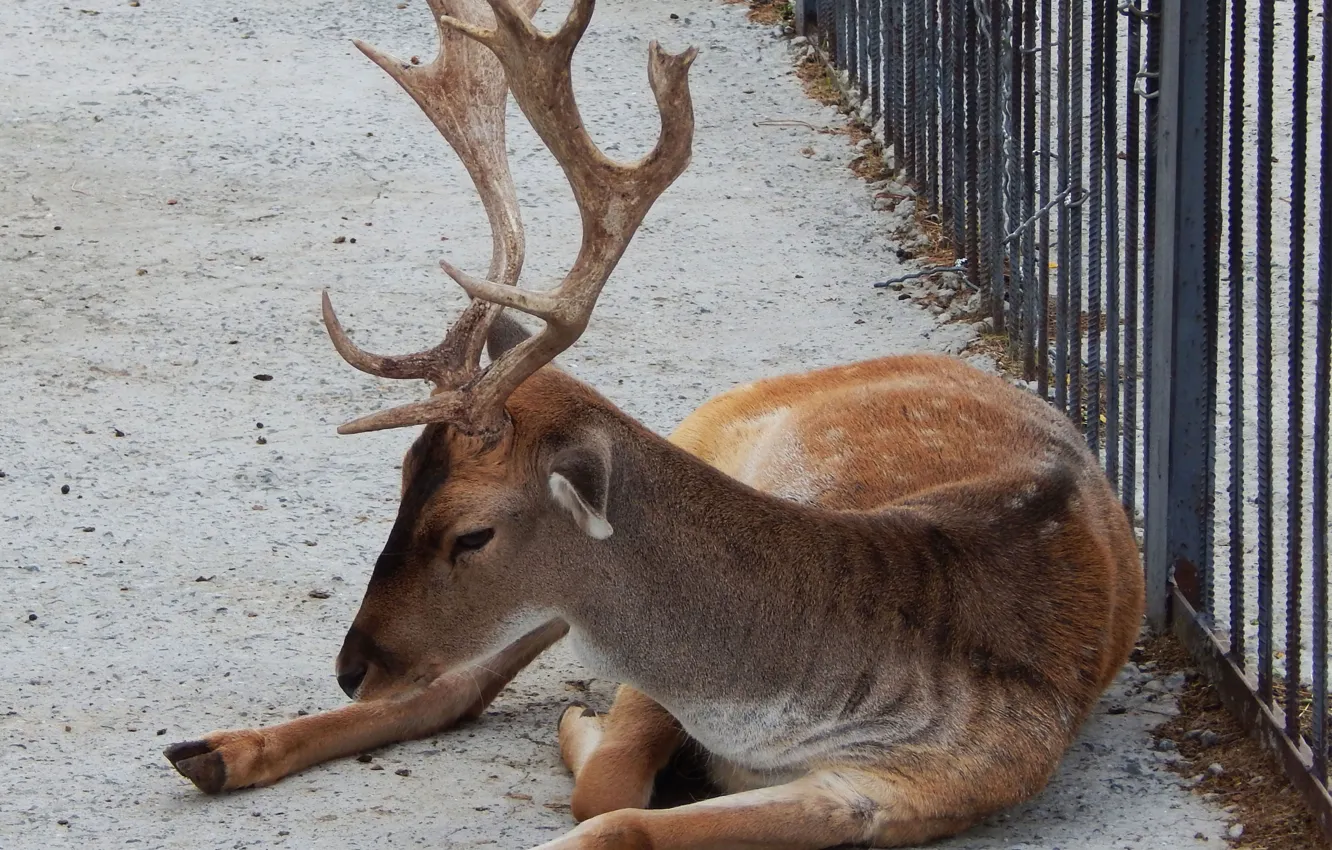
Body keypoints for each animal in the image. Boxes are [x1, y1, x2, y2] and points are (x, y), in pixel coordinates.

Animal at [163, 0, 1145, 846]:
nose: (351, 666)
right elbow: (607, 780)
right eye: (400, 477)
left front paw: (588, 732)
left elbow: (616, 815)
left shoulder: (917, 785)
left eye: (472, 534)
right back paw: (213, 749)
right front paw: (590, 727)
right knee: (458, 682)